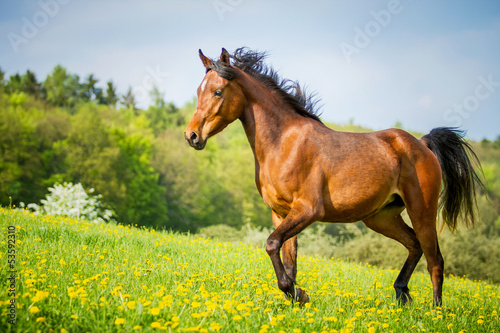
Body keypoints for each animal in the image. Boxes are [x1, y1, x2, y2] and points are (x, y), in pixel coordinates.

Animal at [185, 47, 484, 306]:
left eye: (218, 91)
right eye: (198, 91)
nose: (192, 136)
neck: (284, 143)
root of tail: (422, 145)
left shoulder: (308, 210)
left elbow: (271, 245)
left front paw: (298, 294)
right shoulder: (281, 213)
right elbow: (287, 259)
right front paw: (296, 297)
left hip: (422, 211)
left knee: (435, 261)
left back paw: (435, 310)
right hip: (382, 217)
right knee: (414, 246)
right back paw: (402, 295)